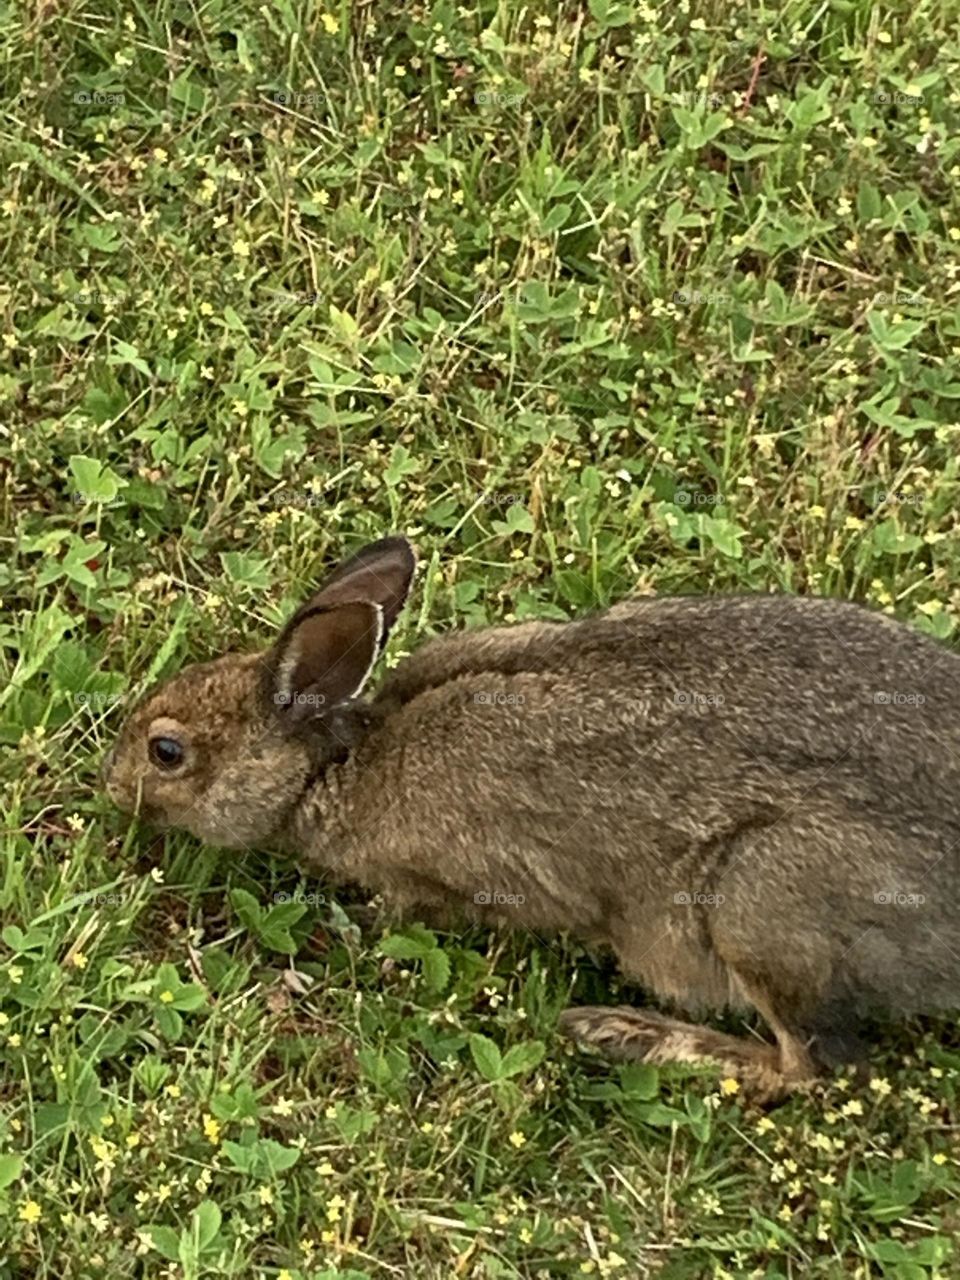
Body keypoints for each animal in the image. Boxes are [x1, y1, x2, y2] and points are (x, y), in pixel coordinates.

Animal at [104, 534, 960, 1100]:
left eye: (166, 751)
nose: (111, 784)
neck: (337, 764)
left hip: (758, 904)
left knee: (813, 1067)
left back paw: (623, 1031)